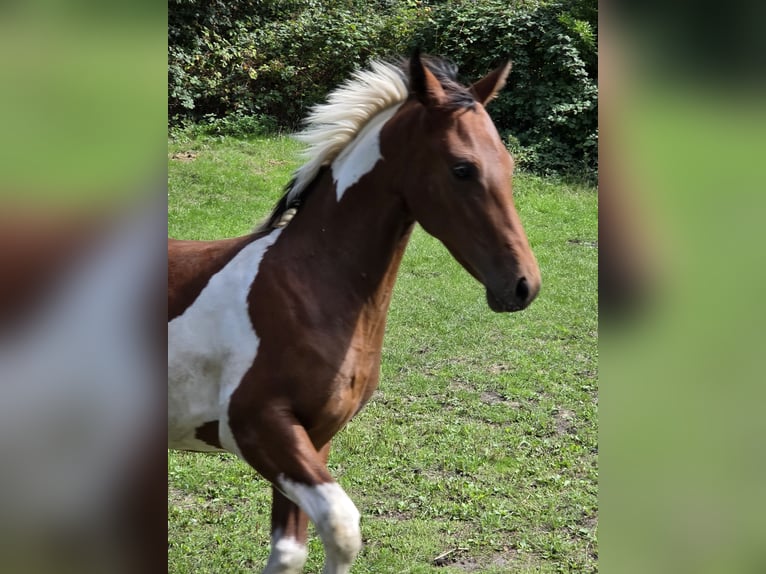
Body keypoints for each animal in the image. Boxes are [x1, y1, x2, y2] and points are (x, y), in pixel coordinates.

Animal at [168, 52, 541, 573]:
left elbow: (291, 549)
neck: (304, 287)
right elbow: (343, 528)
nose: (523, 285)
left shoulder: (313, 436)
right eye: (462, 169)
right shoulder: (255, 425)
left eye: (507, 163)